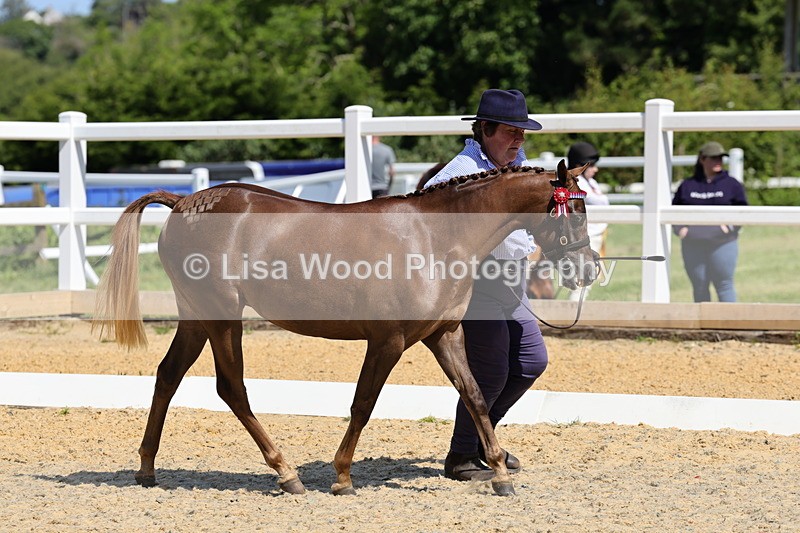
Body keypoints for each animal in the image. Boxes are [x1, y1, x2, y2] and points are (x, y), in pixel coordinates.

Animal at [93, 161, 595, 497]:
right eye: (576, 210)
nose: (588, 269)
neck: (436, 237)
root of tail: (184, 201)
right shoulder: (388, 341)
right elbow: (363, 404)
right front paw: (341, 477)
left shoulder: (444, 335)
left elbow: (474, 396)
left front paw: (500, 474)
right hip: (222, 316)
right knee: (231, 387)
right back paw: (286, 473)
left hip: (197, 316)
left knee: (168, 375)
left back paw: (147, 470)